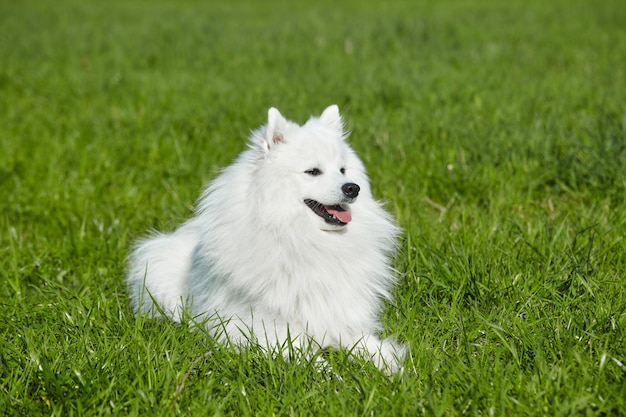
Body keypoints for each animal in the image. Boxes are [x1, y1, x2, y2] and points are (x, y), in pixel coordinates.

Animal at [127, 104, 404, 370]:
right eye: (313, 171)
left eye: (343, 170)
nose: (353, 188)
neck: (302, 238)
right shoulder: (261, 329)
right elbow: (312, 360)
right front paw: (334, 376)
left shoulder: (339, 318)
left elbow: (375, 349)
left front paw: (398, 372)